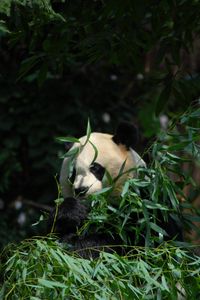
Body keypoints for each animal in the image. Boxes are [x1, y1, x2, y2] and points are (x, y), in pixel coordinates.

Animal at [50, 122, 182, 258]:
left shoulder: (147, 204)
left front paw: (84, 246)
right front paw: (71, 213)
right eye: (73, 173)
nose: (81, 190)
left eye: (95, 168)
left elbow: (144, 242)